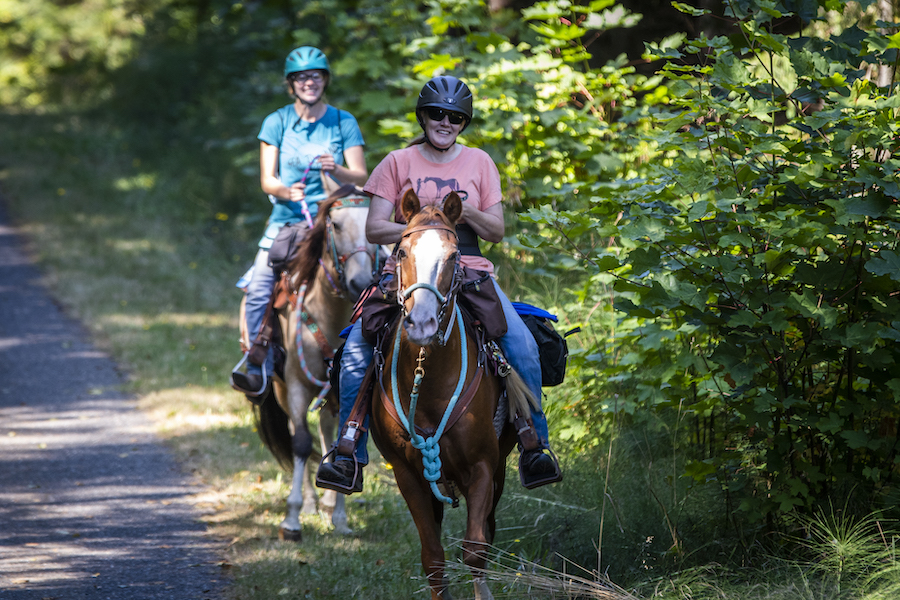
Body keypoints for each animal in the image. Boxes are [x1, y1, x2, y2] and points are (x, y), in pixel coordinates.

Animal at [251, 196, 382, 540]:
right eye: (335, 224)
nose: (359, 282)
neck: (329, 314)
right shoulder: (297, 385)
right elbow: (300, 443)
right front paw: (292, 520)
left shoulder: (342, 390)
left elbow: (341, 442)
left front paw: (341, 518)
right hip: (283, 389)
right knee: (299, 433)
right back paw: (310, 503)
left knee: (324, 429)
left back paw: (326, 501)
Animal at [370, 191, 532, 600]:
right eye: (401, 252)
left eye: (454, 255)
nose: (422, 323)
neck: (428, 383)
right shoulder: (408, 476)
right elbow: (434, 559)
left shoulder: (483, 465)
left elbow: (475, 549)